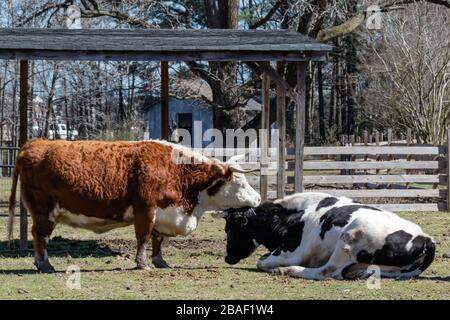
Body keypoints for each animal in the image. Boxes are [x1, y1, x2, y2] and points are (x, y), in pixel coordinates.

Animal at [7, 139, 260, 272]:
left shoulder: (163, 214)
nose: (258, 198)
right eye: (239, 182)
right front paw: (142, 264)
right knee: (40, 236)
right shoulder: (145, 210)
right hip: (43, 211)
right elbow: (144, 238)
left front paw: (160, 261)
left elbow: (158, 240)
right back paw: (45, 264)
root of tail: (34, 143)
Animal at [214, 192, 436, 280]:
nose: (226, 257)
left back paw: (288, 270)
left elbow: (261, 262)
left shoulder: (291, 252)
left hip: (350, 237)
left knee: (326, 272)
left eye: (229, 229)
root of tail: (426, 238)